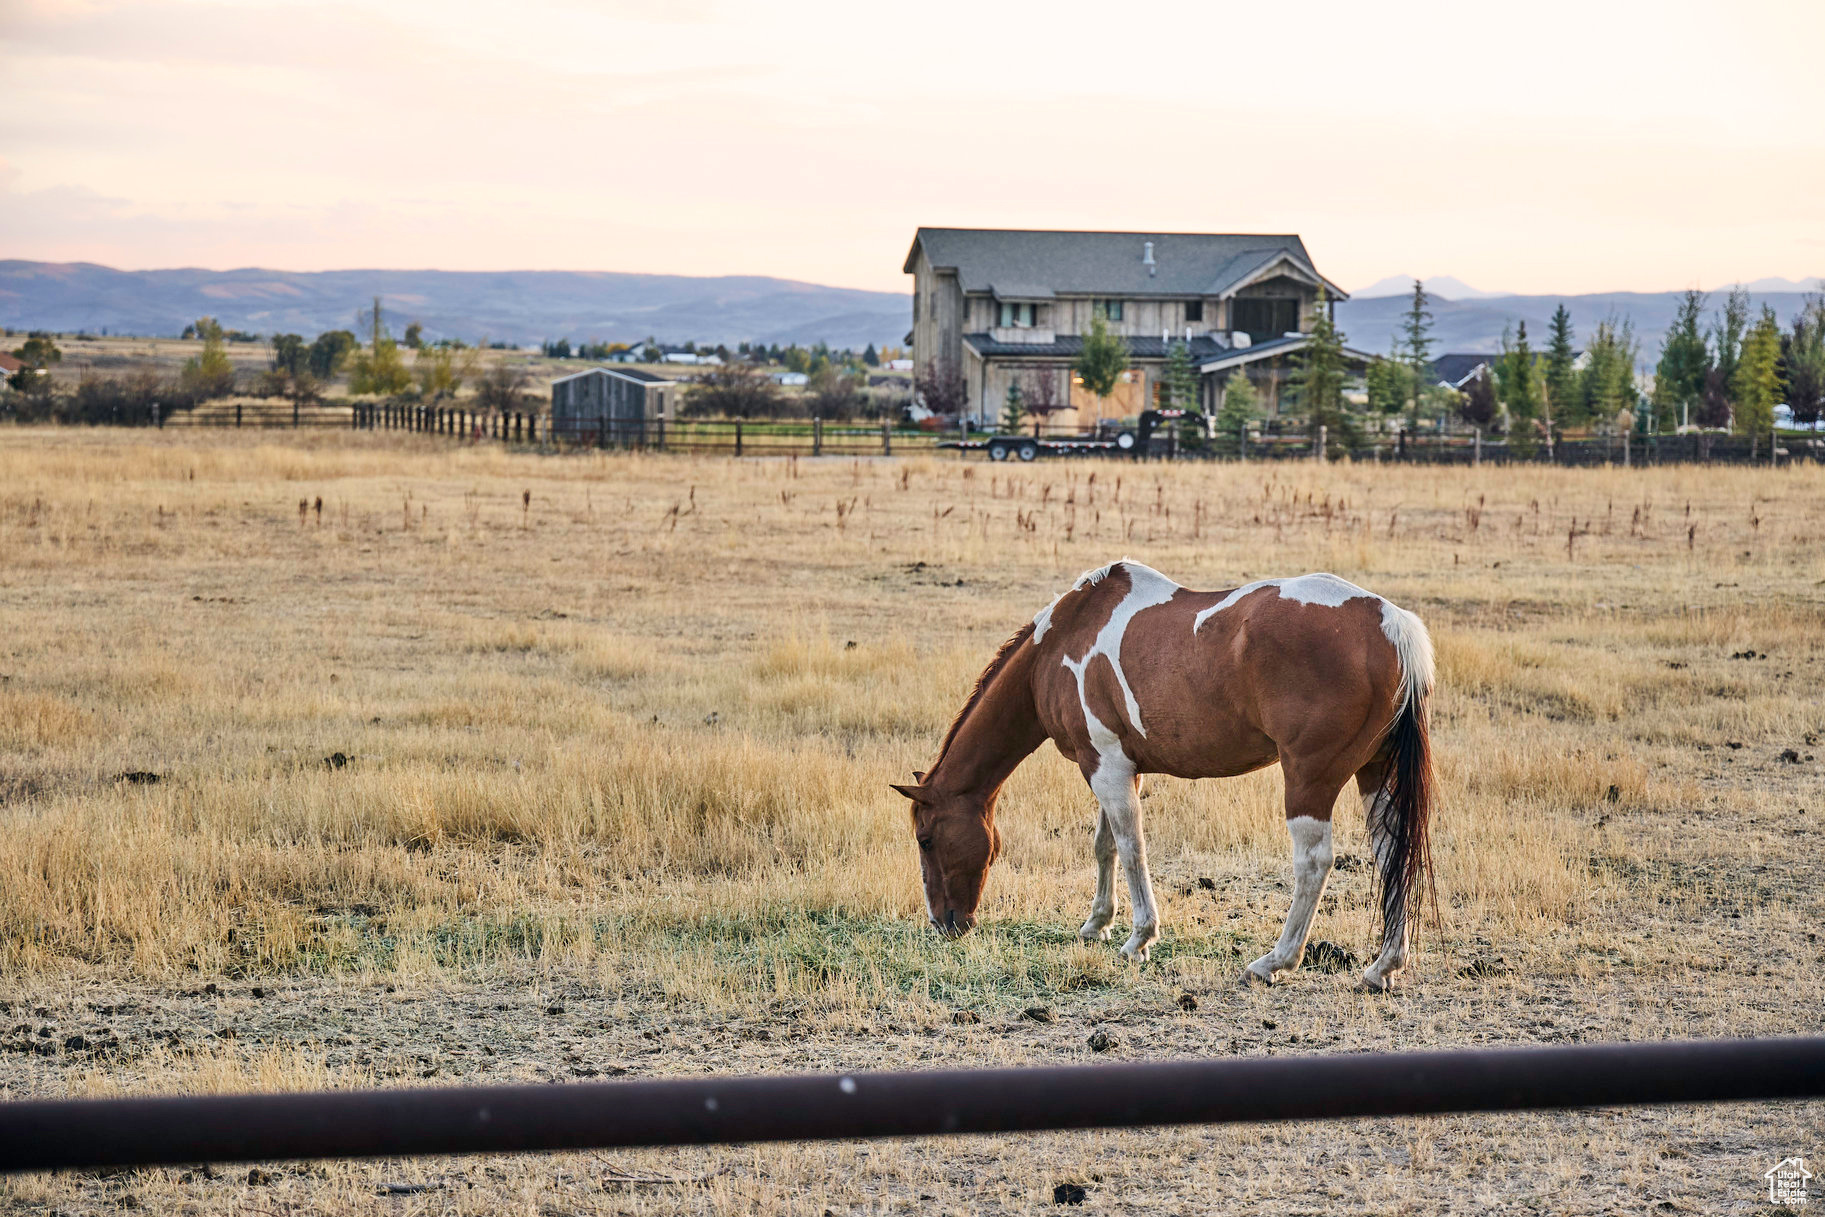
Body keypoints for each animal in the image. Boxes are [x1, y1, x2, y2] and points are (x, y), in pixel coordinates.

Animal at [890, 558, 1430, 992]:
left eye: (925, 839)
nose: (944, 923)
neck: (1061, 641)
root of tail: (1389, 624)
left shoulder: (1105, 767)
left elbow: (1132, 849)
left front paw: (1138, 939)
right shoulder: (1118, 767)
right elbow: (1105, 846)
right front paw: (1097, 924)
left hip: (1309, 780)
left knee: (1314, 863)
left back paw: (1273, 962)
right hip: (1375, 774)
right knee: (1391, 854)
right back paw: (1383, 967)